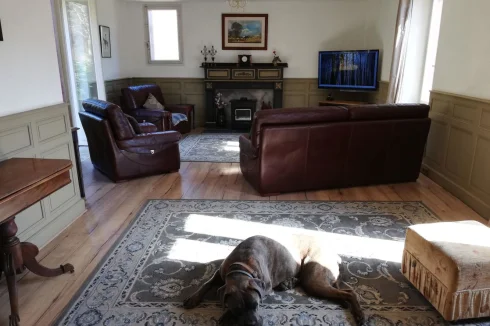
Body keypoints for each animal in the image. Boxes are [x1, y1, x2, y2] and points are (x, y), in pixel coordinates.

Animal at [184, 236, 364, 324]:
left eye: (256, 305)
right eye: (238, 310)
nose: (253, 324)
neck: (241, 265)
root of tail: (334, 253)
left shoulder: (265, 286)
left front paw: (226, 315)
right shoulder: (219, 273)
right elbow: (206, 283)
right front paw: (193, 298)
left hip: (313, 278)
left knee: (348, 292)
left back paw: (360, 315)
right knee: (342, 290)